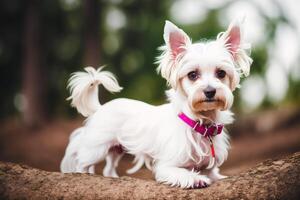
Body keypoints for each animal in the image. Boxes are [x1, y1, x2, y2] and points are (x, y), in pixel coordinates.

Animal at [60, 19, 251, 188]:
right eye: (192, 75)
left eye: (221, 73)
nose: (210, 91)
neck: (200, 122)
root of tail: (100, 107)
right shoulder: (166, 166)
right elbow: (181, 173)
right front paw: (195, 179)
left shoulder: (210, 168)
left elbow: (213, 174)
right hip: (96, 149)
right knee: (82, 163)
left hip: (116, 149)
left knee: (108, 169)